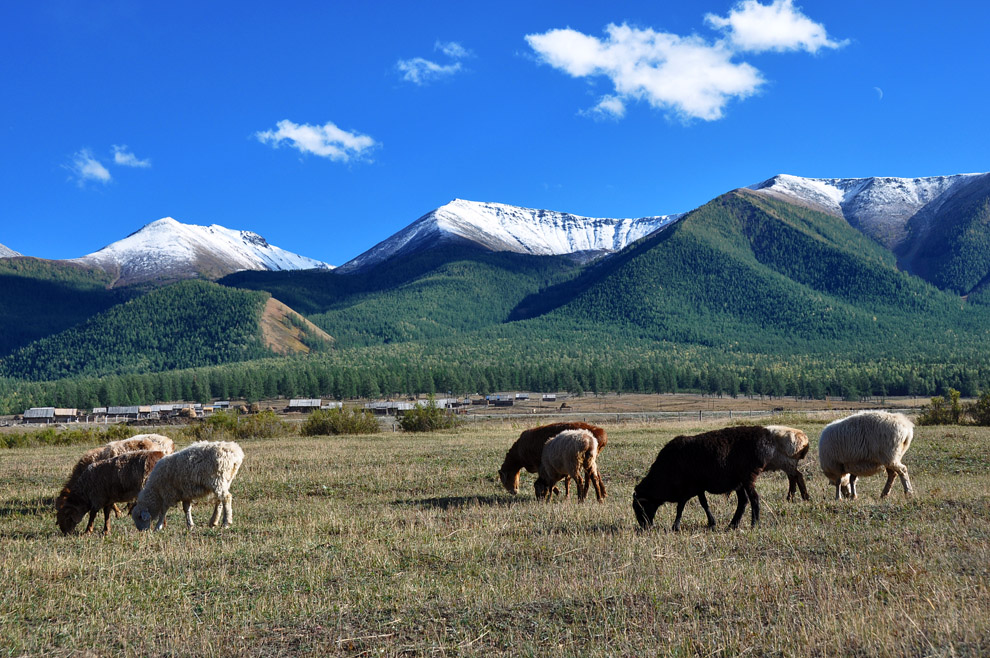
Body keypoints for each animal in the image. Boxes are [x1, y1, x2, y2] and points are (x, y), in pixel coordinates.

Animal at [640, 422, 804, 532]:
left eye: (639, 505)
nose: (643, 526)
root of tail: (766, 436)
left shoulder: (688, 487)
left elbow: (682, 506)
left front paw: (676, 526)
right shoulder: (697, 487)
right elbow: (703, 503)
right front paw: (711, 523)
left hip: (748, 476)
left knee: (754, 499)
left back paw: (754, 524)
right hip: (740, 481)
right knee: (743, 501)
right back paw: (733, 525)